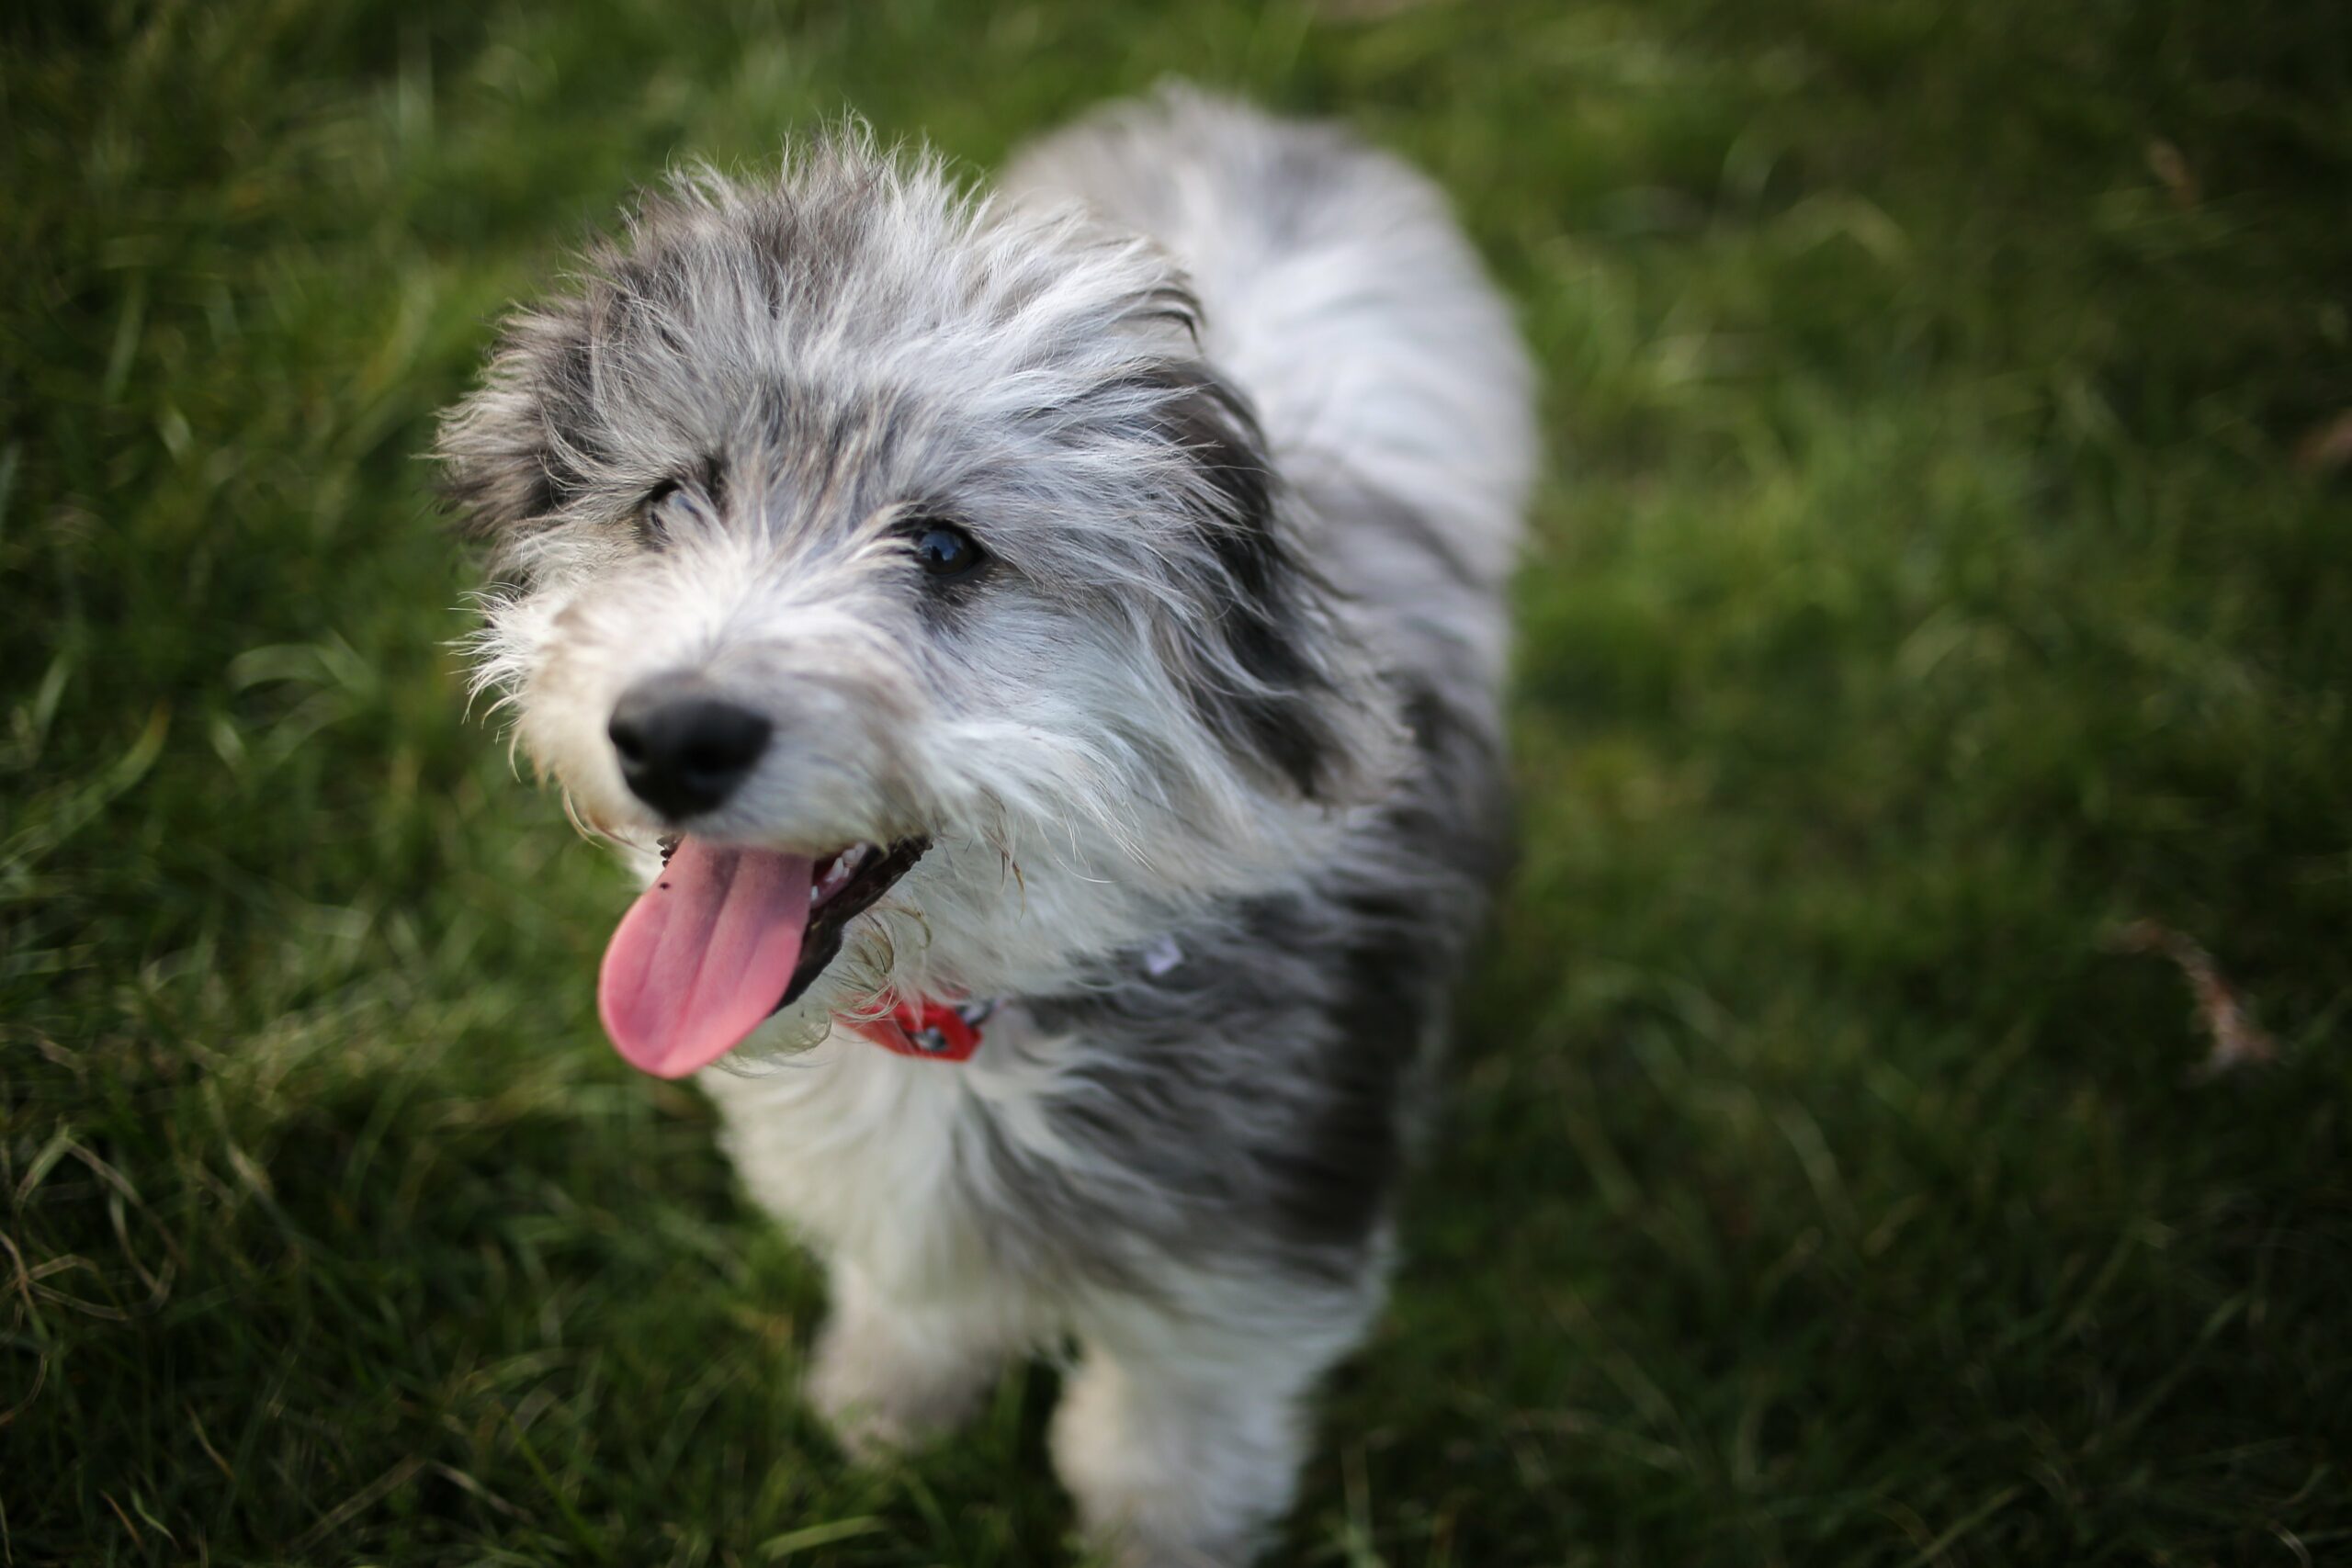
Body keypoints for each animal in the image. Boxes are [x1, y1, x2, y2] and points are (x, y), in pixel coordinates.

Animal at [437, 85, 1543, 1568]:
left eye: (949, 550)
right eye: (670, 499)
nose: (670, 737)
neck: (977, 1016)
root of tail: (1257, 118)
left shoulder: (1248, 1265)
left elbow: (1168, 1433)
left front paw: (1161, 1532)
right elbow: (916, 1308)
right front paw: (881, 1420)